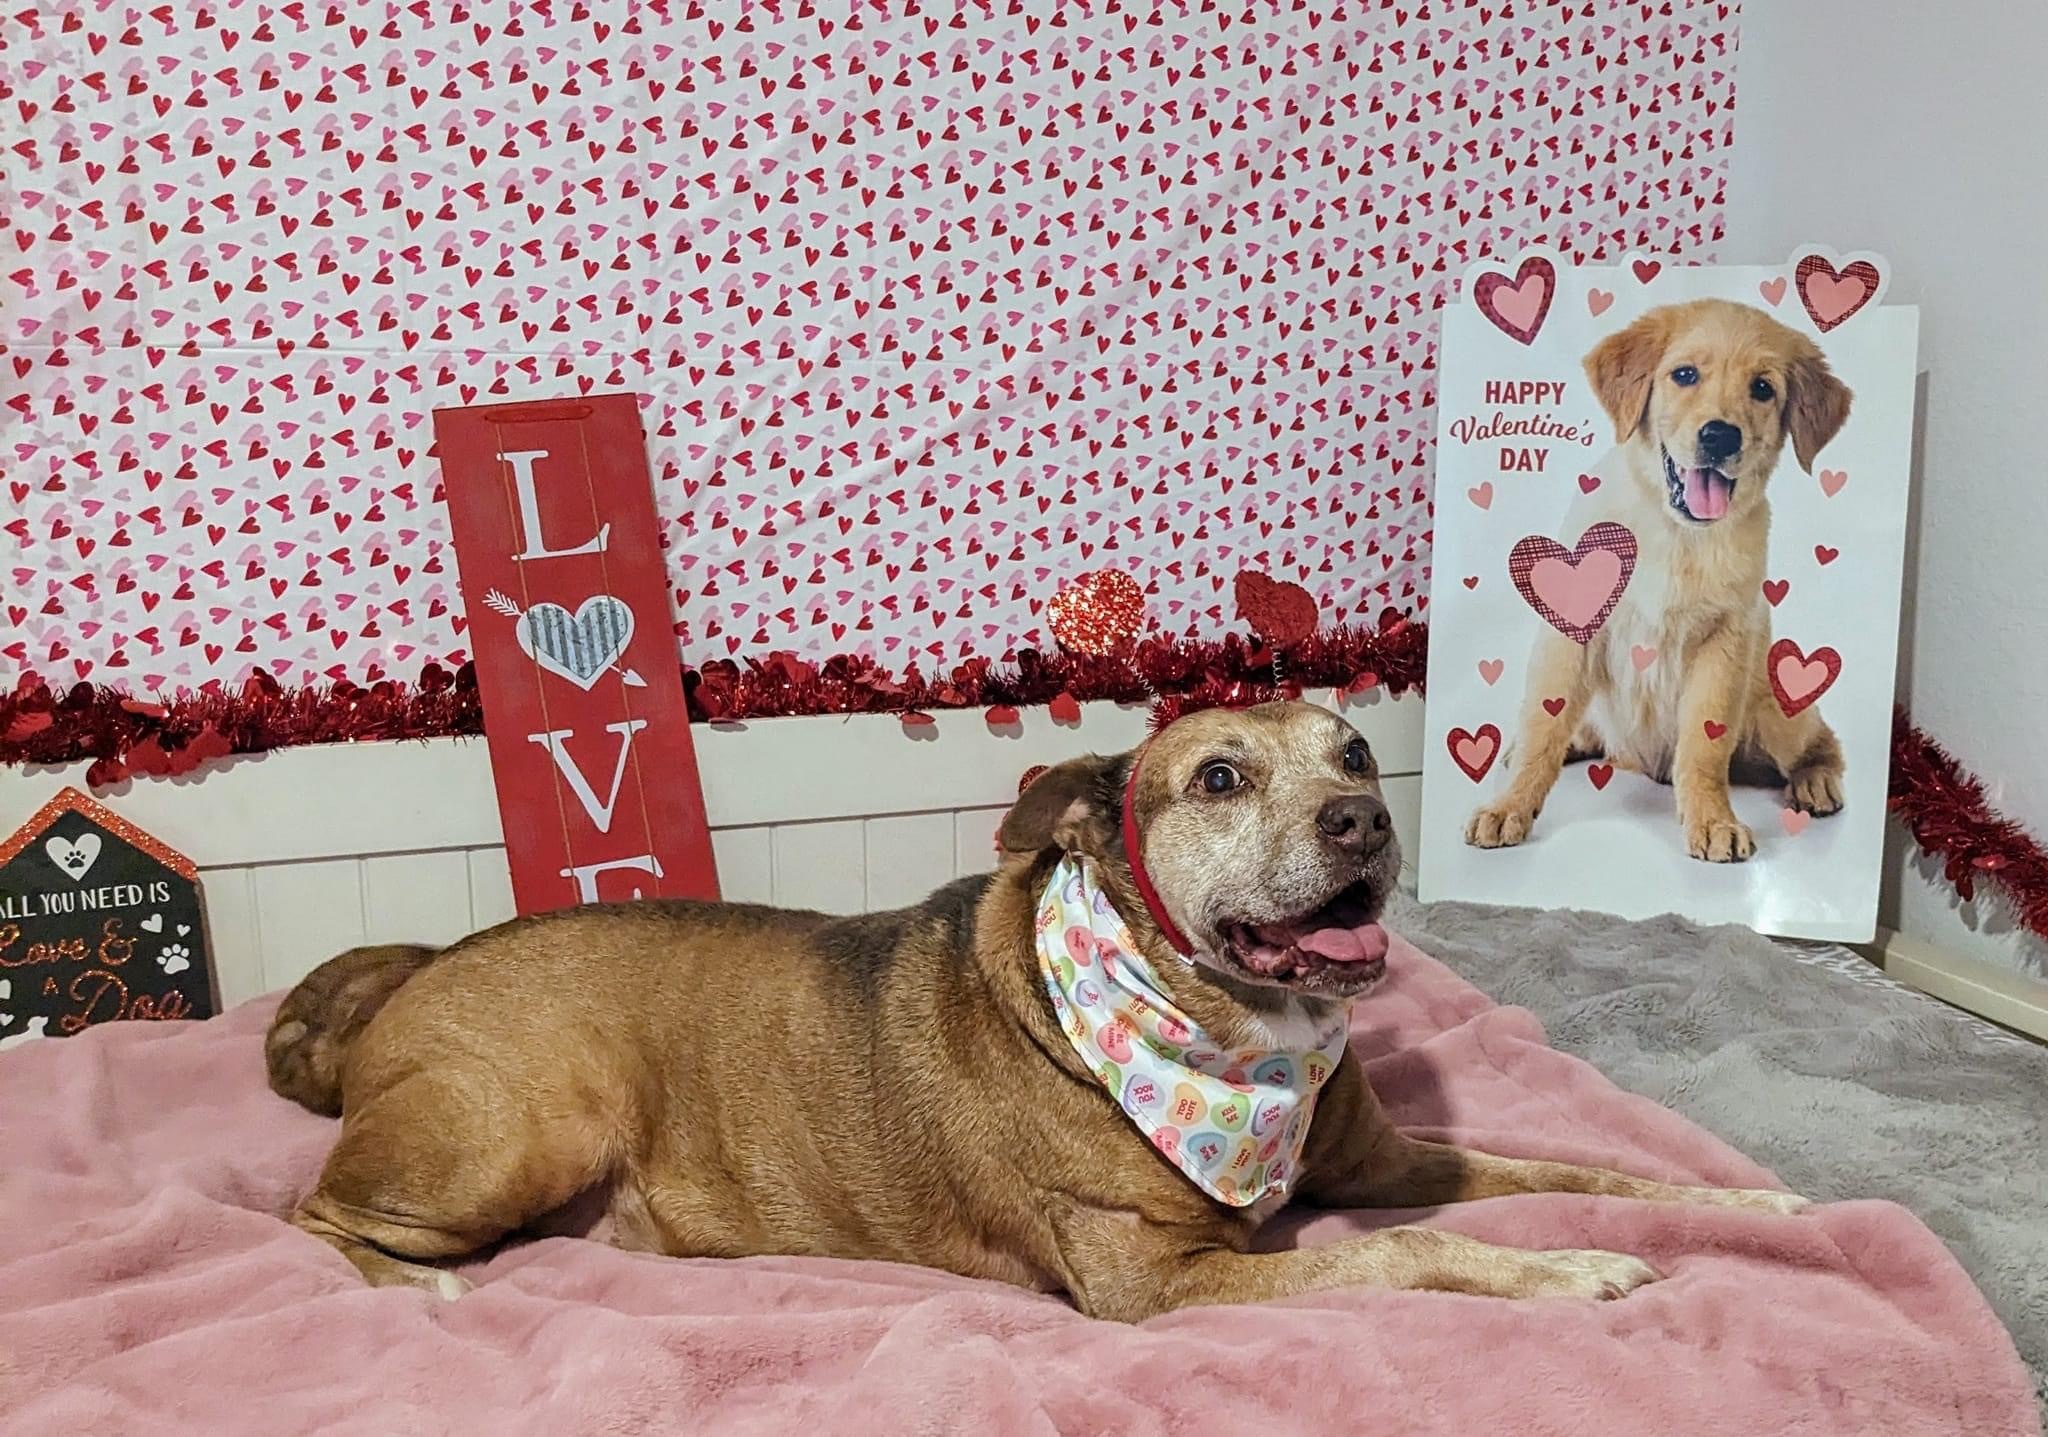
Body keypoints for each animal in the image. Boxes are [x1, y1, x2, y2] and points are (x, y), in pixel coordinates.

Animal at [276, 704, 1810, 1326]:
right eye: (1218, 778)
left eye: (1358, 752)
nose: (1367, 822)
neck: (1238, 1030)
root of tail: (401, 982)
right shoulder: (1158, 1283)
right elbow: (1407, 1255)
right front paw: (1575, 1274)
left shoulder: (1383, 1160)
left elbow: (1581, 1163)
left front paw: (1751, 1206)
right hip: (520, 1126)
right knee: (309, 1213)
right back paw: (415, 1288)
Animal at [1466, 300, 1851, 867]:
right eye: (1685, 375)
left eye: (1762, 388)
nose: (1720, 436)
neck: (1676, 534)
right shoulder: (1571, 629)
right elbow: (1543, 724)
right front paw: (1509, 805)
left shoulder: (1725, 642)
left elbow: (1705, 745)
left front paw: (1713, 820)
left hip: (1777, 712)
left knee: (1820, 739)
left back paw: (1816, 781)